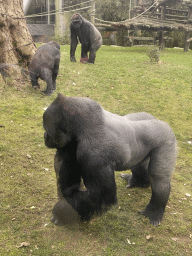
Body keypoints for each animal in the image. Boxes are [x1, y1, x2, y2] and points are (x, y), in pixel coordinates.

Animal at [43, 93, 177, 226]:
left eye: (47, 130)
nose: (45, 136)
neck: (85, 125)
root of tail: (160, 121)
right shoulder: (71, 144)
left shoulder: (93, 154)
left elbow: (101, 196)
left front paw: (62, 211)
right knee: (139, 165)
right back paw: (139, 182)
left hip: (167, 138)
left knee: (159, 177)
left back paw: (155, 210)